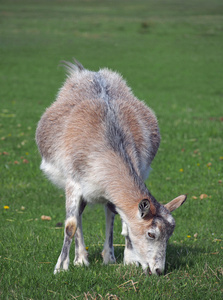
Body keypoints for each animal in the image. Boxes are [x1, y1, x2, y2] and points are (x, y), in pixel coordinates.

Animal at [35, 59, 186, 276]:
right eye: (151, 234)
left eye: (170, 235)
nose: (158, 270)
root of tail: (87, 72)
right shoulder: (73, 182)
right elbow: (70, 224)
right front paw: (60, 268)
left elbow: (121, 219)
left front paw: (127, 260)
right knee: (78, 216)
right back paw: (81, 259)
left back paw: (107, 257)